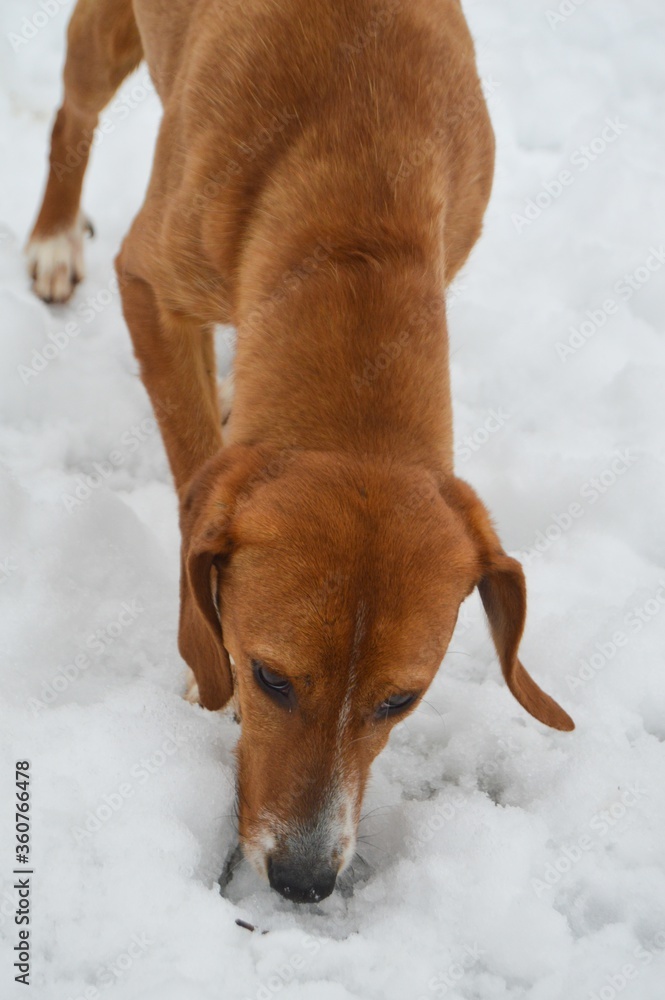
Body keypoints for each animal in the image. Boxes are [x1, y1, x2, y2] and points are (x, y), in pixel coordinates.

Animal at [28, 0, 572, 908]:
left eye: (400, 700)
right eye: (268, 678)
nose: (304, 880)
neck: (360, 215)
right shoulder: (148, 283)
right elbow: (193, 466)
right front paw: (201, 654)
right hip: (103, 45)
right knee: (74, 113)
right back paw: (52, 236)